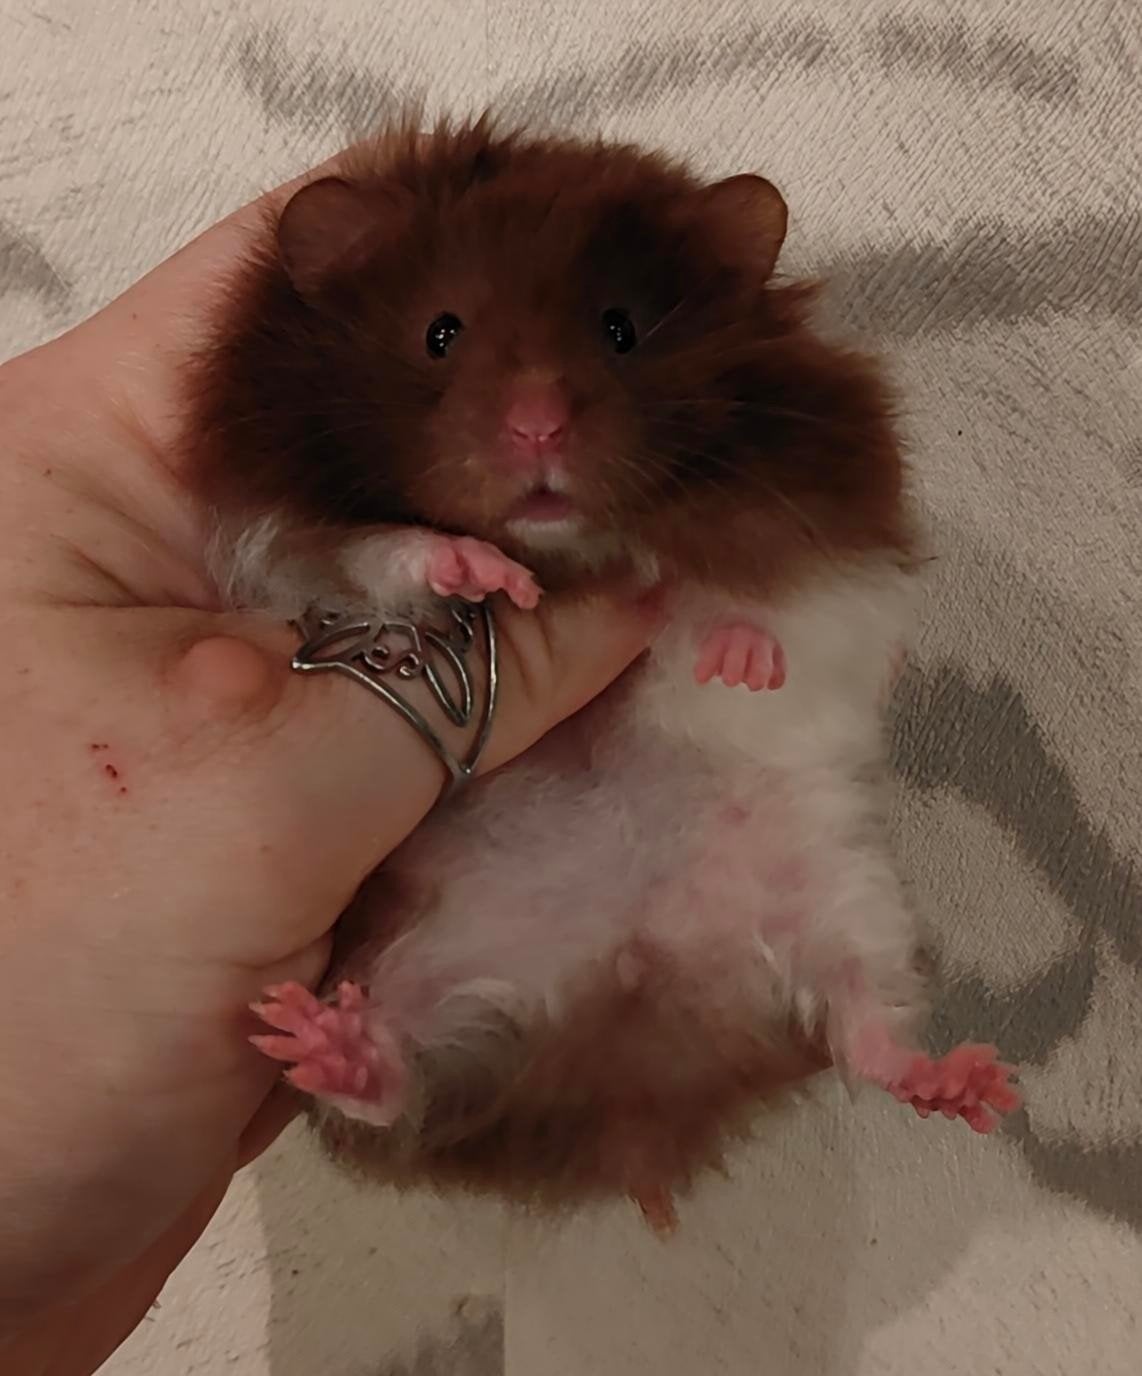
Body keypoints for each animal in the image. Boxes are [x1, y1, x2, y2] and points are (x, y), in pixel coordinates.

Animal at [190, 117, 1019, 1230]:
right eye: (440, 332)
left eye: (621, 329)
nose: (538, 426)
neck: (574, 551)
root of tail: (631, 994)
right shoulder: (278, 538)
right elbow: (384, 551)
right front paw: (481, 570)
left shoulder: (835, 543)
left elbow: (769, 606)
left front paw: (735, 657)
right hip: (415, 956)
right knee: (396, 1079)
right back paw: (326, 1045)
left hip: (846, 887)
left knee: (864, 1018)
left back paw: (964, 1083)